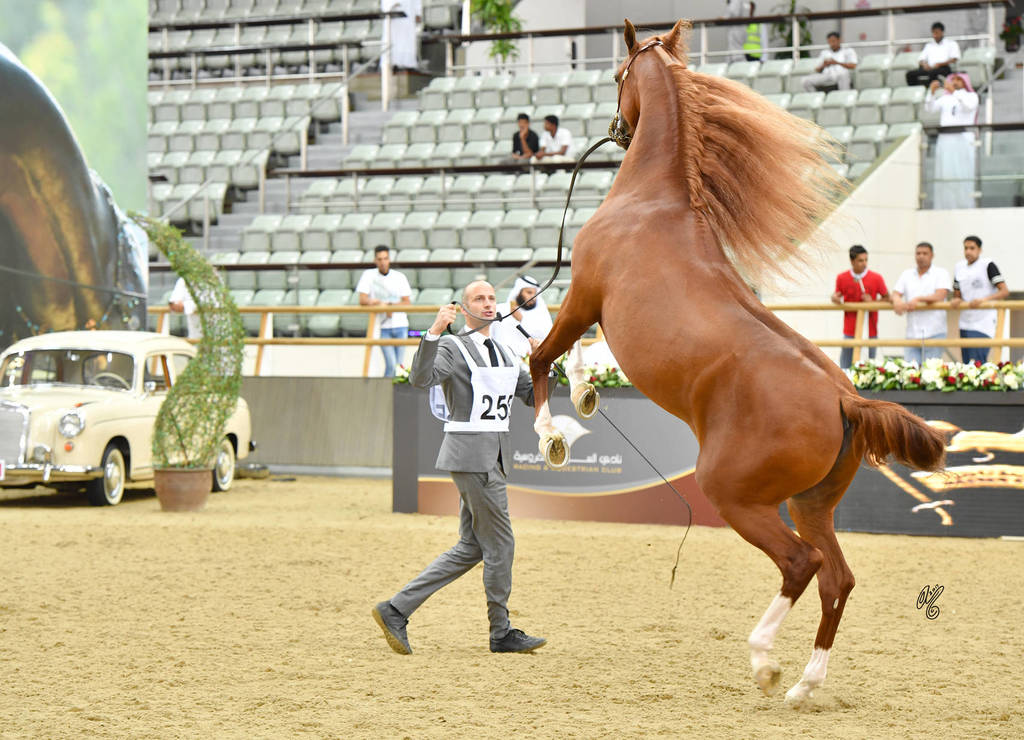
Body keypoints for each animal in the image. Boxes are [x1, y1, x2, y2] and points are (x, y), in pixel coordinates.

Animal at [527, 19, 947, 705]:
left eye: (617, 74)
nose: (617, 128)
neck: (652, 201)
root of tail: (847, 400)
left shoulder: (584, 293)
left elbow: (542, 357)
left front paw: (553, 436)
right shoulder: (594, 308)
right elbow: (574, 352)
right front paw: (586, 394)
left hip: (737, 497)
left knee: (801, 565)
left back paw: (764, 663)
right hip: (811, 504)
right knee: (838, 578)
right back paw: (803, 685)